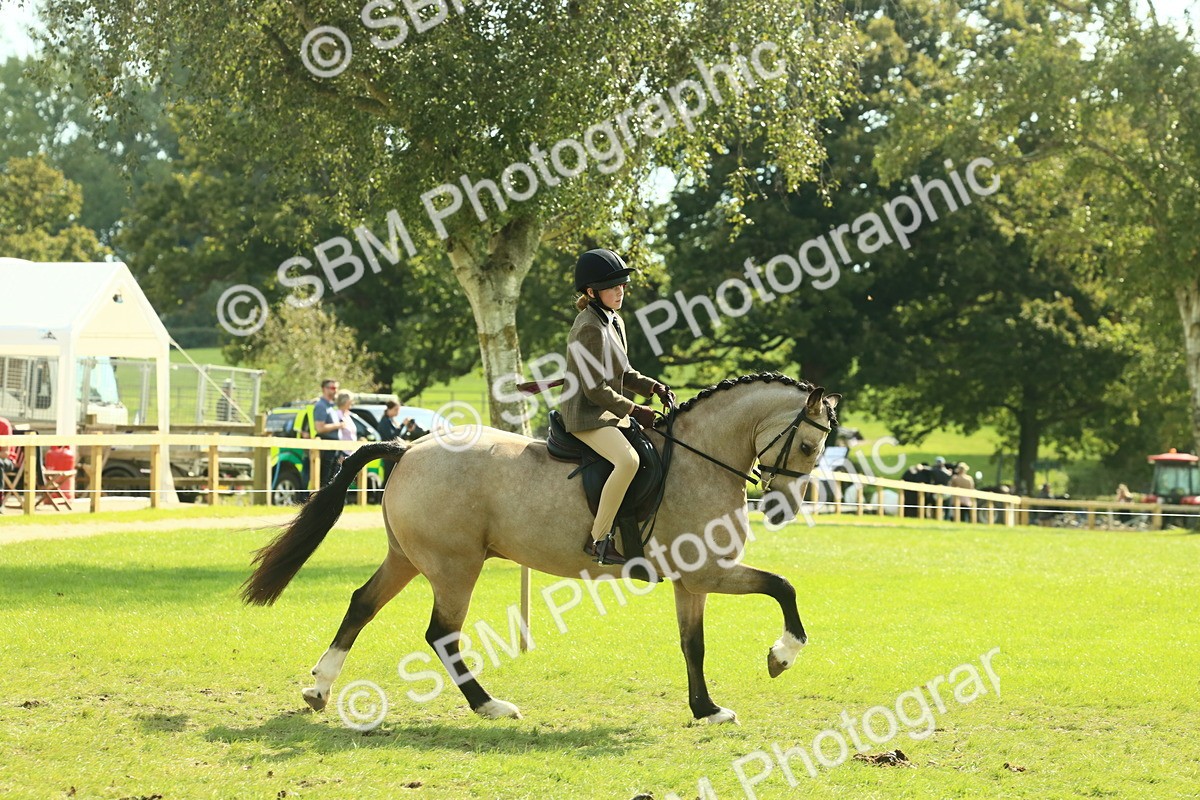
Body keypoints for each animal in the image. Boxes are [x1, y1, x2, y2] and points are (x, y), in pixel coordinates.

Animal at [241, 372, 841, 724]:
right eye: (809, 445)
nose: (784, 510)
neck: (698, 460)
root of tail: (409, 448)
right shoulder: (711, 571)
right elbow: (783, 588)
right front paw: (781, 656)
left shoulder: (692, 581)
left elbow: (693, 645)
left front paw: (706, 709)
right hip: (455, 567)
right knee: (442, 634)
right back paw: (490, 706)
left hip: (409, 559)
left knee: (362, 604)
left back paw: (320, 689)